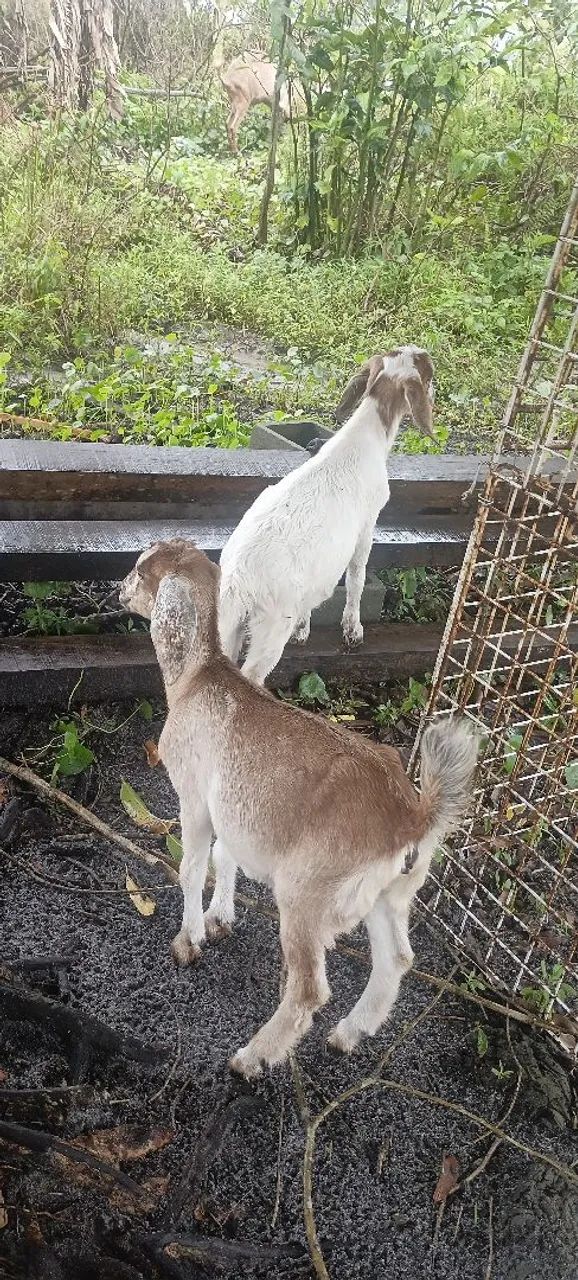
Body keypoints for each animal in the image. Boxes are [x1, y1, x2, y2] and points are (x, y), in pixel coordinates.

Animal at [119, 539, 478, 1078]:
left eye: (142, 570)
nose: (120, 590)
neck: (198, 679)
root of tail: (411, 817)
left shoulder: (195, 797)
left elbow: (192, 867)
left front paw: (189, 941)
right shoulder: (235, 808)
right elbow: (226, 857)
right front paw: (221, 917)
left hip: (307, 894)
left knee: (310, 987)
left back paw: (252, 1058)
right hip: (388, 896)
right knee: (396, 960)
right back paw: (348, 1035)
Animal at [218, 346, 435, 686]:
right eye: (428, 373)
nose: (435, 391)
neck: (362, 439)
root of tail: (238, 581)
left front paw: (303, 629)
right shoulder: (367, 526)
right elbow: (357, 576)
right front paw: (353, 631)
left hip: (227, 625)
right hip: (271, 626)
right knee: (250, 674)